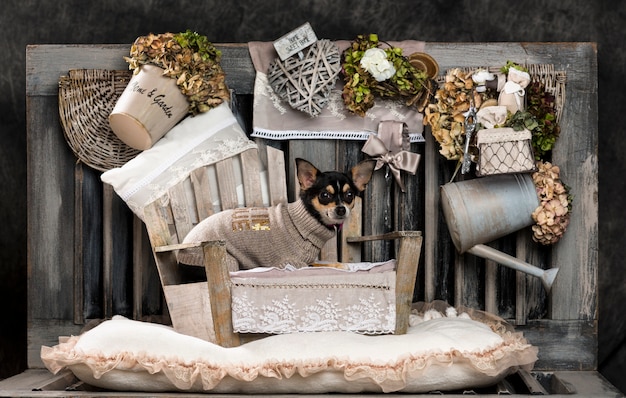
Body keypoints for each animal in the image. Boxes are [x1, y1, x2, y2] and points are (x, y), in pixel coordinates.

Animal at [173, 158, 372, 270]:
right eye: (324, 195)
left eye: (349, 195)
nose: (341, 209)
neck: (307, 219)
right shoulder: (294, 263)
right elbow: (326, 265)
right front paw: (343, 265)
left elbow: (323, 263)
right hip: (228, 262)